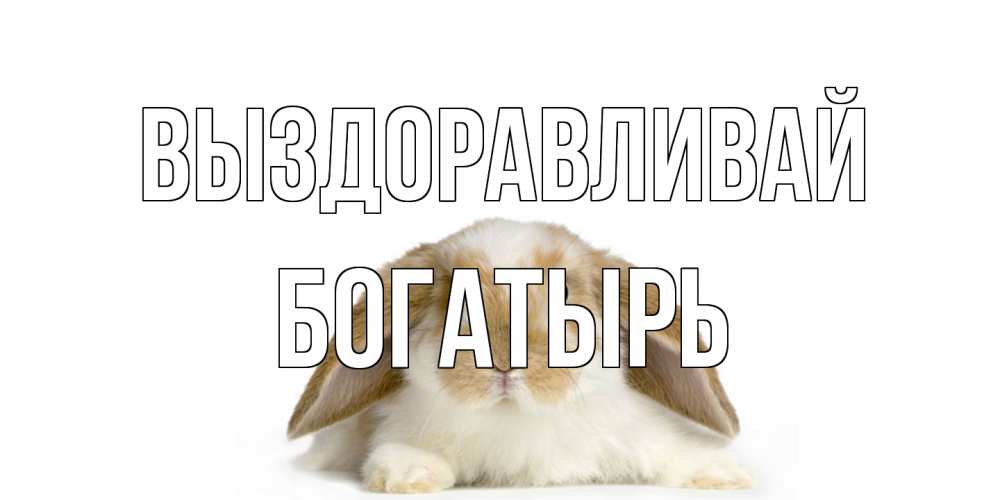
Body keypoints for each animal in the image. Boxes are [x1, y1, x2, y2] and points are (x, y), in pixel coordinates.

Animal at [287, 218, 751, 493]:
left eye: (565, 292)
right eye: (452, 295)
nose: (505, 358)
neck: (515, 419)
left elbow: (671, 451)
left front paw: (725, 474)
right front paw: (408, 474)